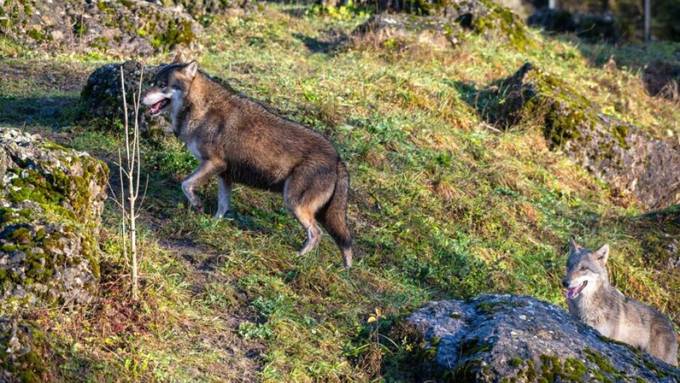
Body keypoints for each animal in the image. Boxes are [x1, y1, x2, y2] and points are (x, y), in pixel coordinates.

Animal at [141, 54, 354, 268]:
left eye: (162, 85)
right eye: (152, 83)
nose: (141, 98)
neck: (201, 109)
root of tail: (338, 159)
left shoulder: (213, 164)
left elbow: (185, 185)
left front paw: (198, 205)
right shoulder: (224, 175)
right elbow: (222, 207)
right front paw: (212, 224)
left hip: (295, 204)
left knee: (316, 234)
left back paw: (299, 257)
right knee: (341, 240)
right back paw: (343, 269)